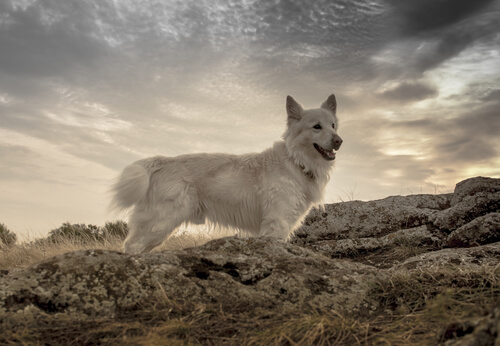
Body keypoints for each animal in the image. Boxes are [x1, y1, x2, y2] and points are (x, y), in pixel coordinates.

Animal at [111, 93, 342, 253]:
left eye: (333, 125)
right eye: (316, 127)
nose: (339, 141)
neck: (296, 160)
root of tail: (160, 162)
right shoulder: (277, 222)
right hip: (161, 221)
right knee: (132, 246)